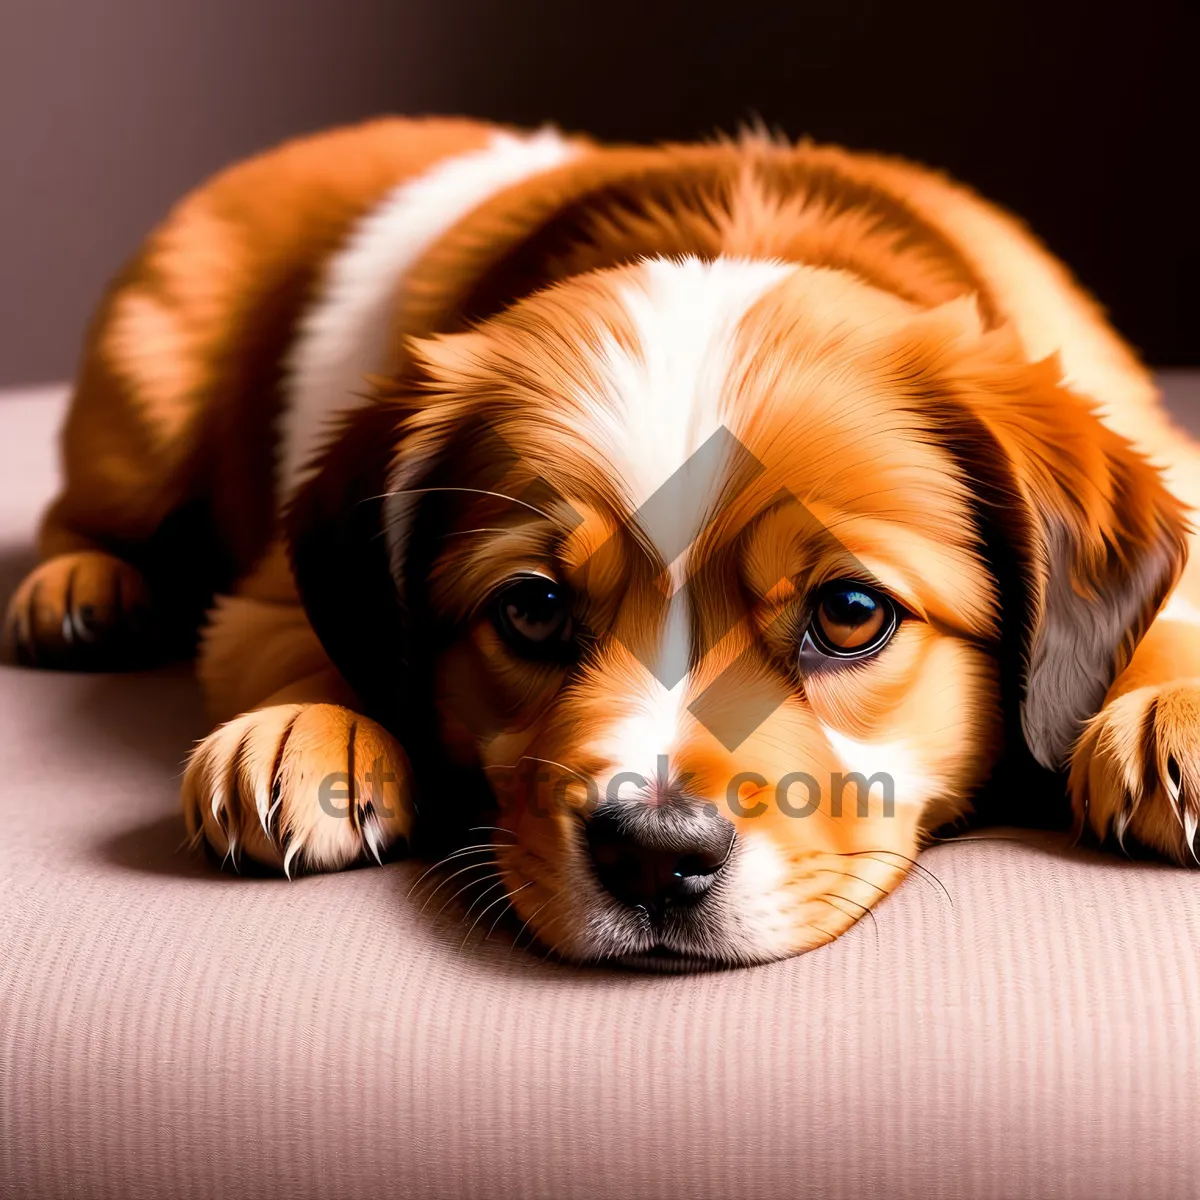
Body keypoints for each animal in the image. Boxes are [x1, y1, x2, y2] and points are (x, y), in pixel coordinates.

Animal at [7, 117, 1200, 964]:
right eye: (532, 609)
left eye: (852, 613)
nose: (655, 859)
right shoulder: (257, 596)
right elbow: (304, 640)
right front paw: (306, 730)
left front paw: (1174, 709)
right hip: (145, 397)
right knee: (90, 511)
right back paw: (82, 591)